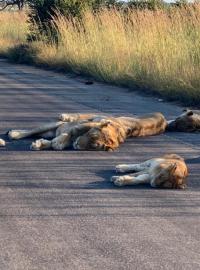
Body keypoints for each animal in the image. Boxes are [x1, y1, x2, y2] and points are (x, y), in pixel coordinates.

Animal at [8, 111, 167, 151]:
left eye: (94, 146)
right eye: (92, 135)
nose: (77, 145)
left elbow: (53, 142)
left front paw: (41, 144)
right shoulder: (81, 126)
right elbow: (69, 133)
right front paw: (59, 142)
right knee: (31, 130)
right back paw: (14, 133)